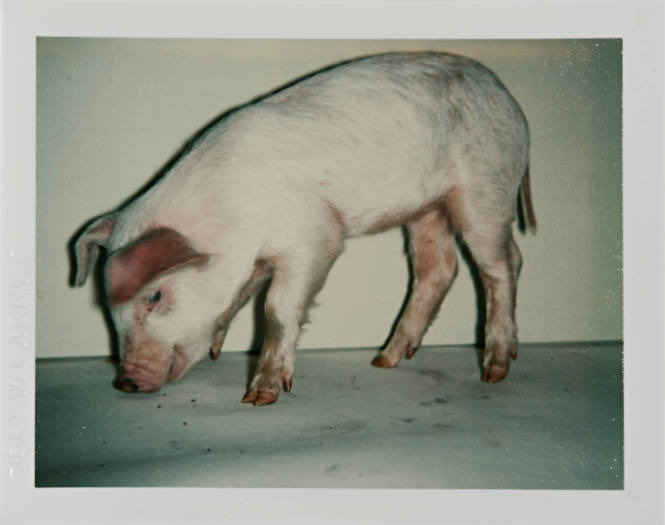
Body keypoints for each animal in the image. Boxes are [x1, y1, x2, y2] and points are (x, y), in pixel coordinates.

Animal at [73, 51, 536, 406]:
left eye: (155, 296)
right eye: (108, 304)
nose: (125, 383)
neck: (232, 215)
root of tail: (509, 98)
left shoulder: (314, 236)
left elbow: (277, 308)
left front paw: (259, 398)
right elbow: (238, 298)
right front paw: (219, 349)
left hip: (485, 188)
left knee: (503, 262)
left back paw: (493, 372)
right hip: (427, 209)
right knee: (438, 268)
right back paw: (383, 360)